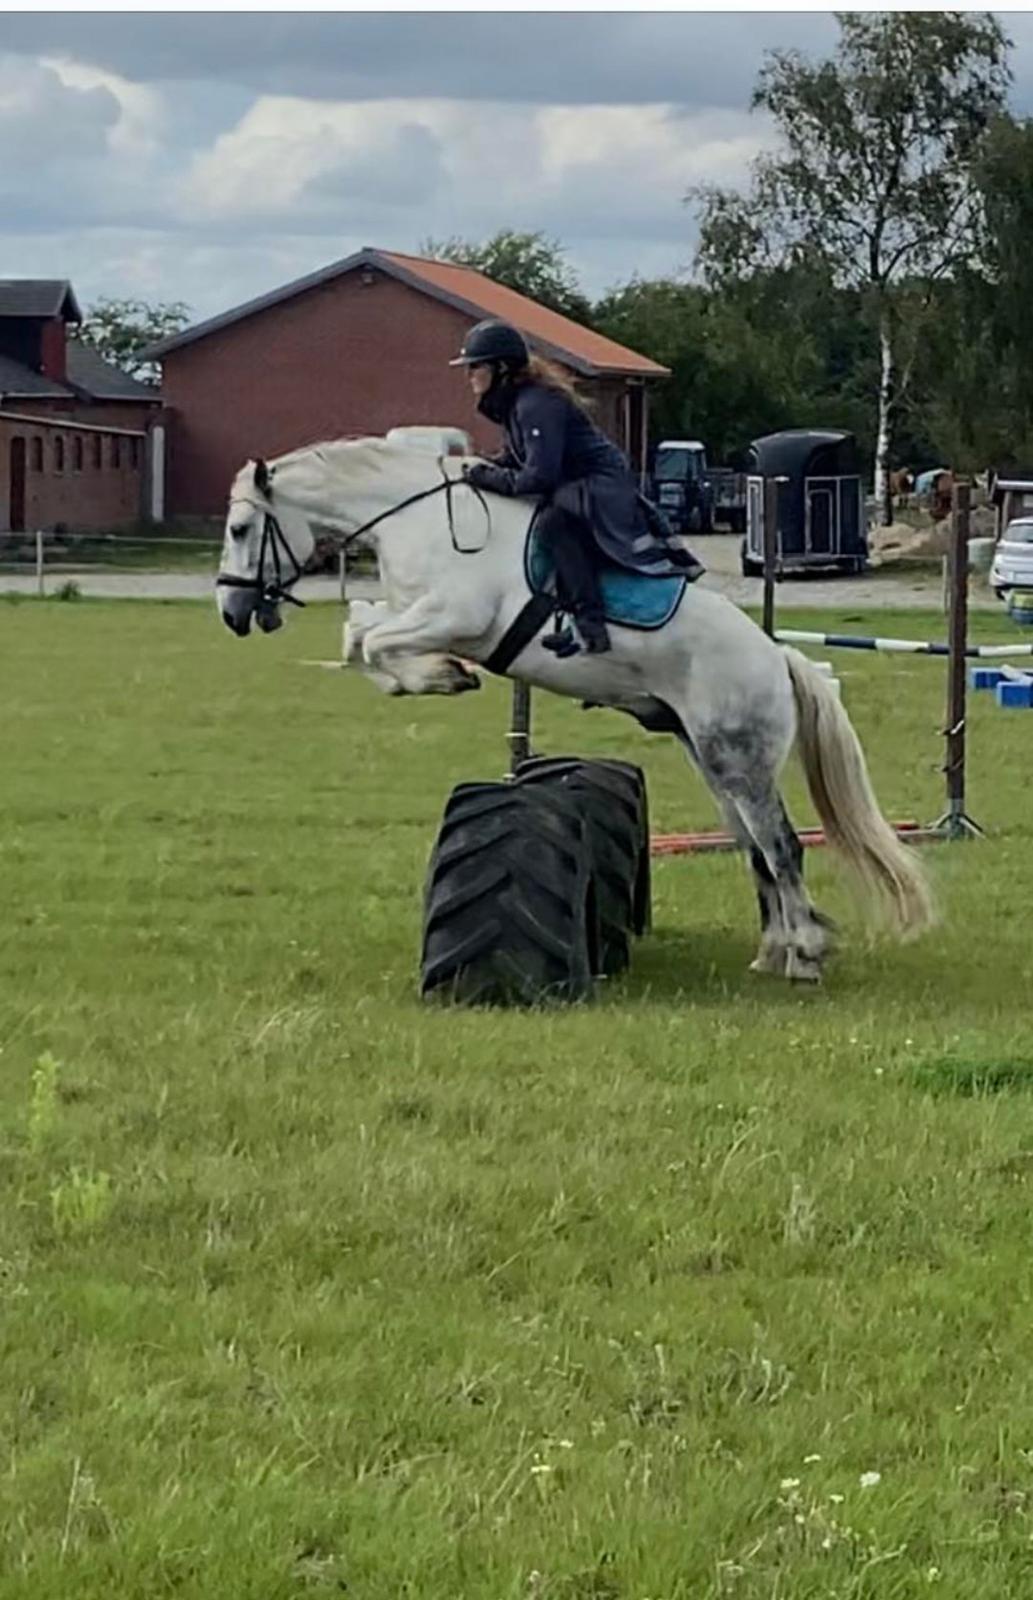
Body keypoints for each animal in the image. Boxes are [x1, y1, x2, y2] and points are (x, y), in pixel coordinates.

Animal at [219, 441, 940, 985]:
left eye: (239, 529)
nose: (231, 612)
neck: (413, 521)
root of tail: (778, 660)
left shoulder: (455, 615)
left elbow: (372, 642)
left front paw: (441, 676)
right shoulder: (413, 614)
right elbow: (359, 636)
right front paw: (435, 676)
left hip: (741, 760)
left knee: (782, 845)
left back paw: (806, 957)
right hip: (712, 760)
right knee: (755, 848)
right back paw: (771, 952)